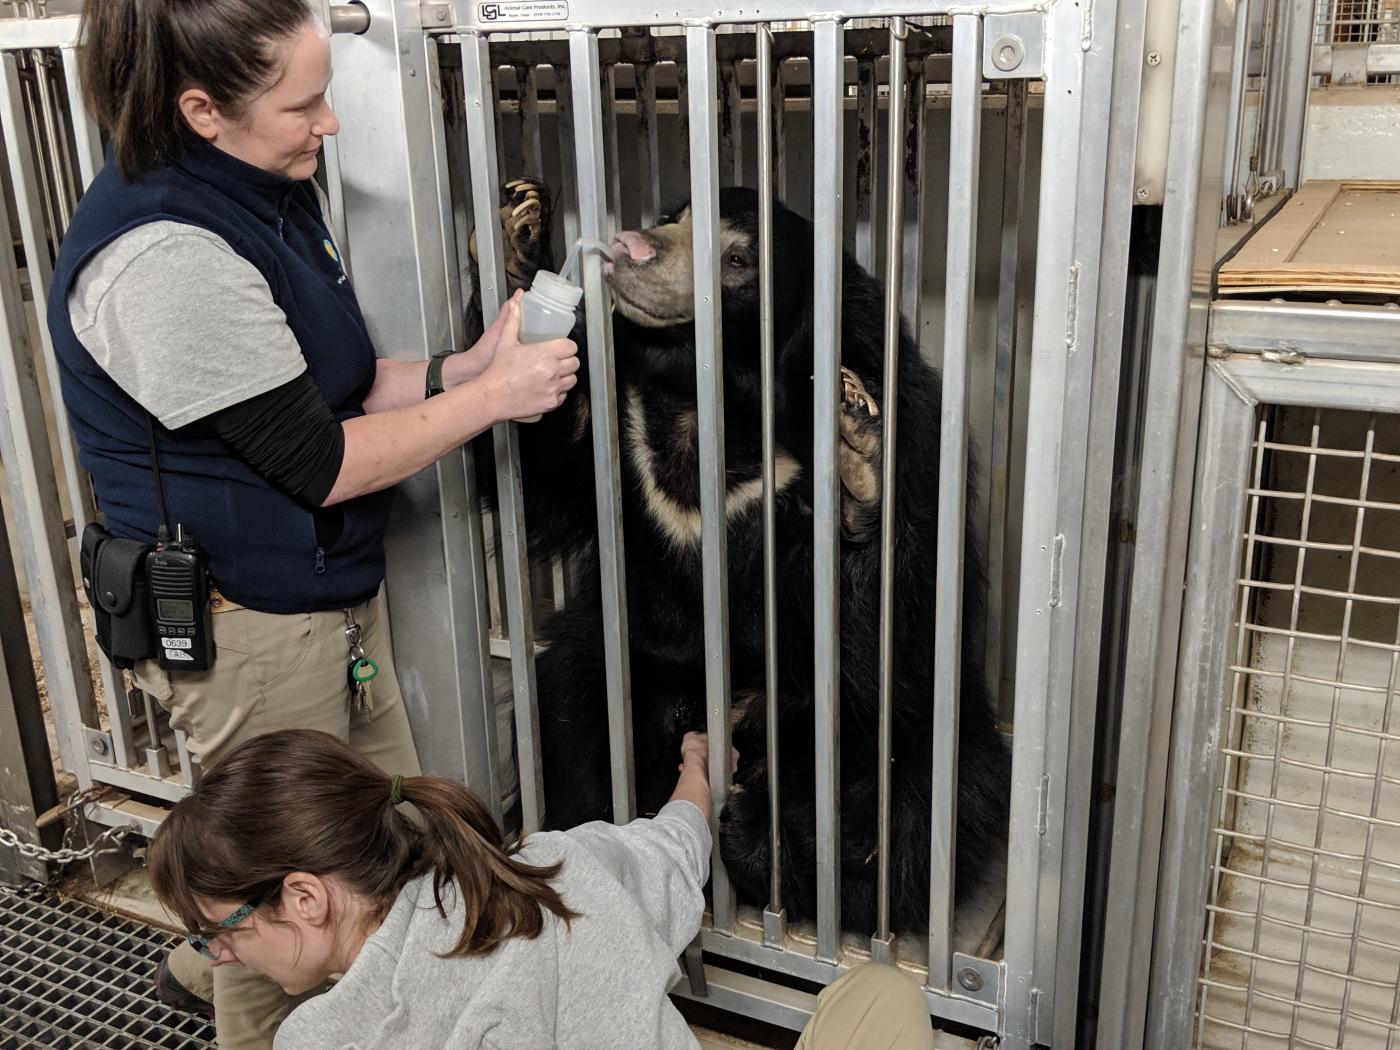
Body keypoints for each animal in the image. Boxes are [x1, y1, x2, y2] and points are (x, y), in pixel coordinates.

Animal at [473, 175, 1008, 935]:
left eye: (737, 263)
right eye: (673, 216)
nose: (629, 246)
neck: (714, 398)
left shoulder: (915, 440)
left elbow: (893, 631)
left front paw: (857, 450)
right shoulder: (620, 431)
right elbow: (544, 467)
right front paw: (517, 242)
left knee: (923, 797)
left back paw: (782, 848)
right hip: (631, 670)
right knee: (567, 704)